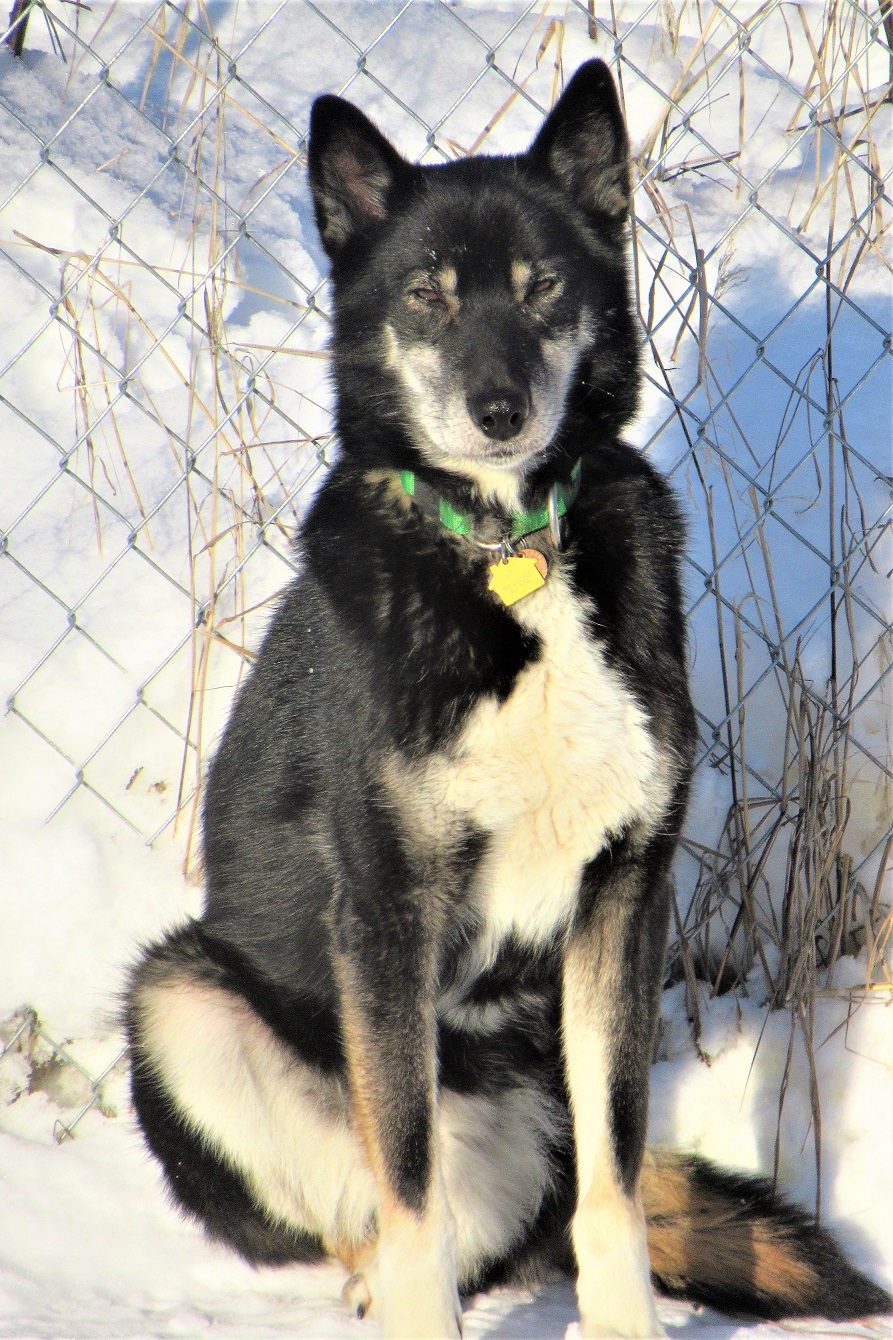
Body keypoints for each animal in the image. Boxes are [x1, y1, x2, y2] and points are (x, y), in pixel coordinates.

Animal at [126, 57, 890, 1334]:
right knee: (377, 1205)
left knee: (539, 1205)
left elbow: (615, 1183)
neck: (507, 549)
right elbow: (409, 1187)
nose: (497, 412)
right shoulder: (387, 914)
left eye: (541, 288)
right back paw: (371, 1286)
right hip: (179, 997)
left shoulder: (622, 901)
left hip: (531, 1105)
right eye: (427, 297)